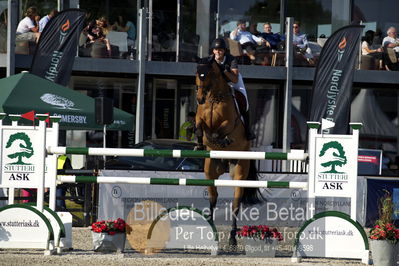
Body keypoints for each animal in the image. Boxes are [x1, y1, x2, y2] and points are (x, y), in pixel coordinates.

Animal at [195, 58, 260, 247]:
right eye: (197, 74)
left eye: (208, 74)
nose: (200, 99)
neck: (213, 99)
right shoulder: (200, 118)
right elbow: (200, 126)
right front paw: (200, 142)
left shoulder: (229, 122)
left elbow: (220, 130)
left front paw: (223, 140)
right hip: (210, 171)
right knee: (213, 198)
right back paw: (209, 226)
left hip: (239, 171)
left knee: (235, 205)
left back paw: (232, 237)